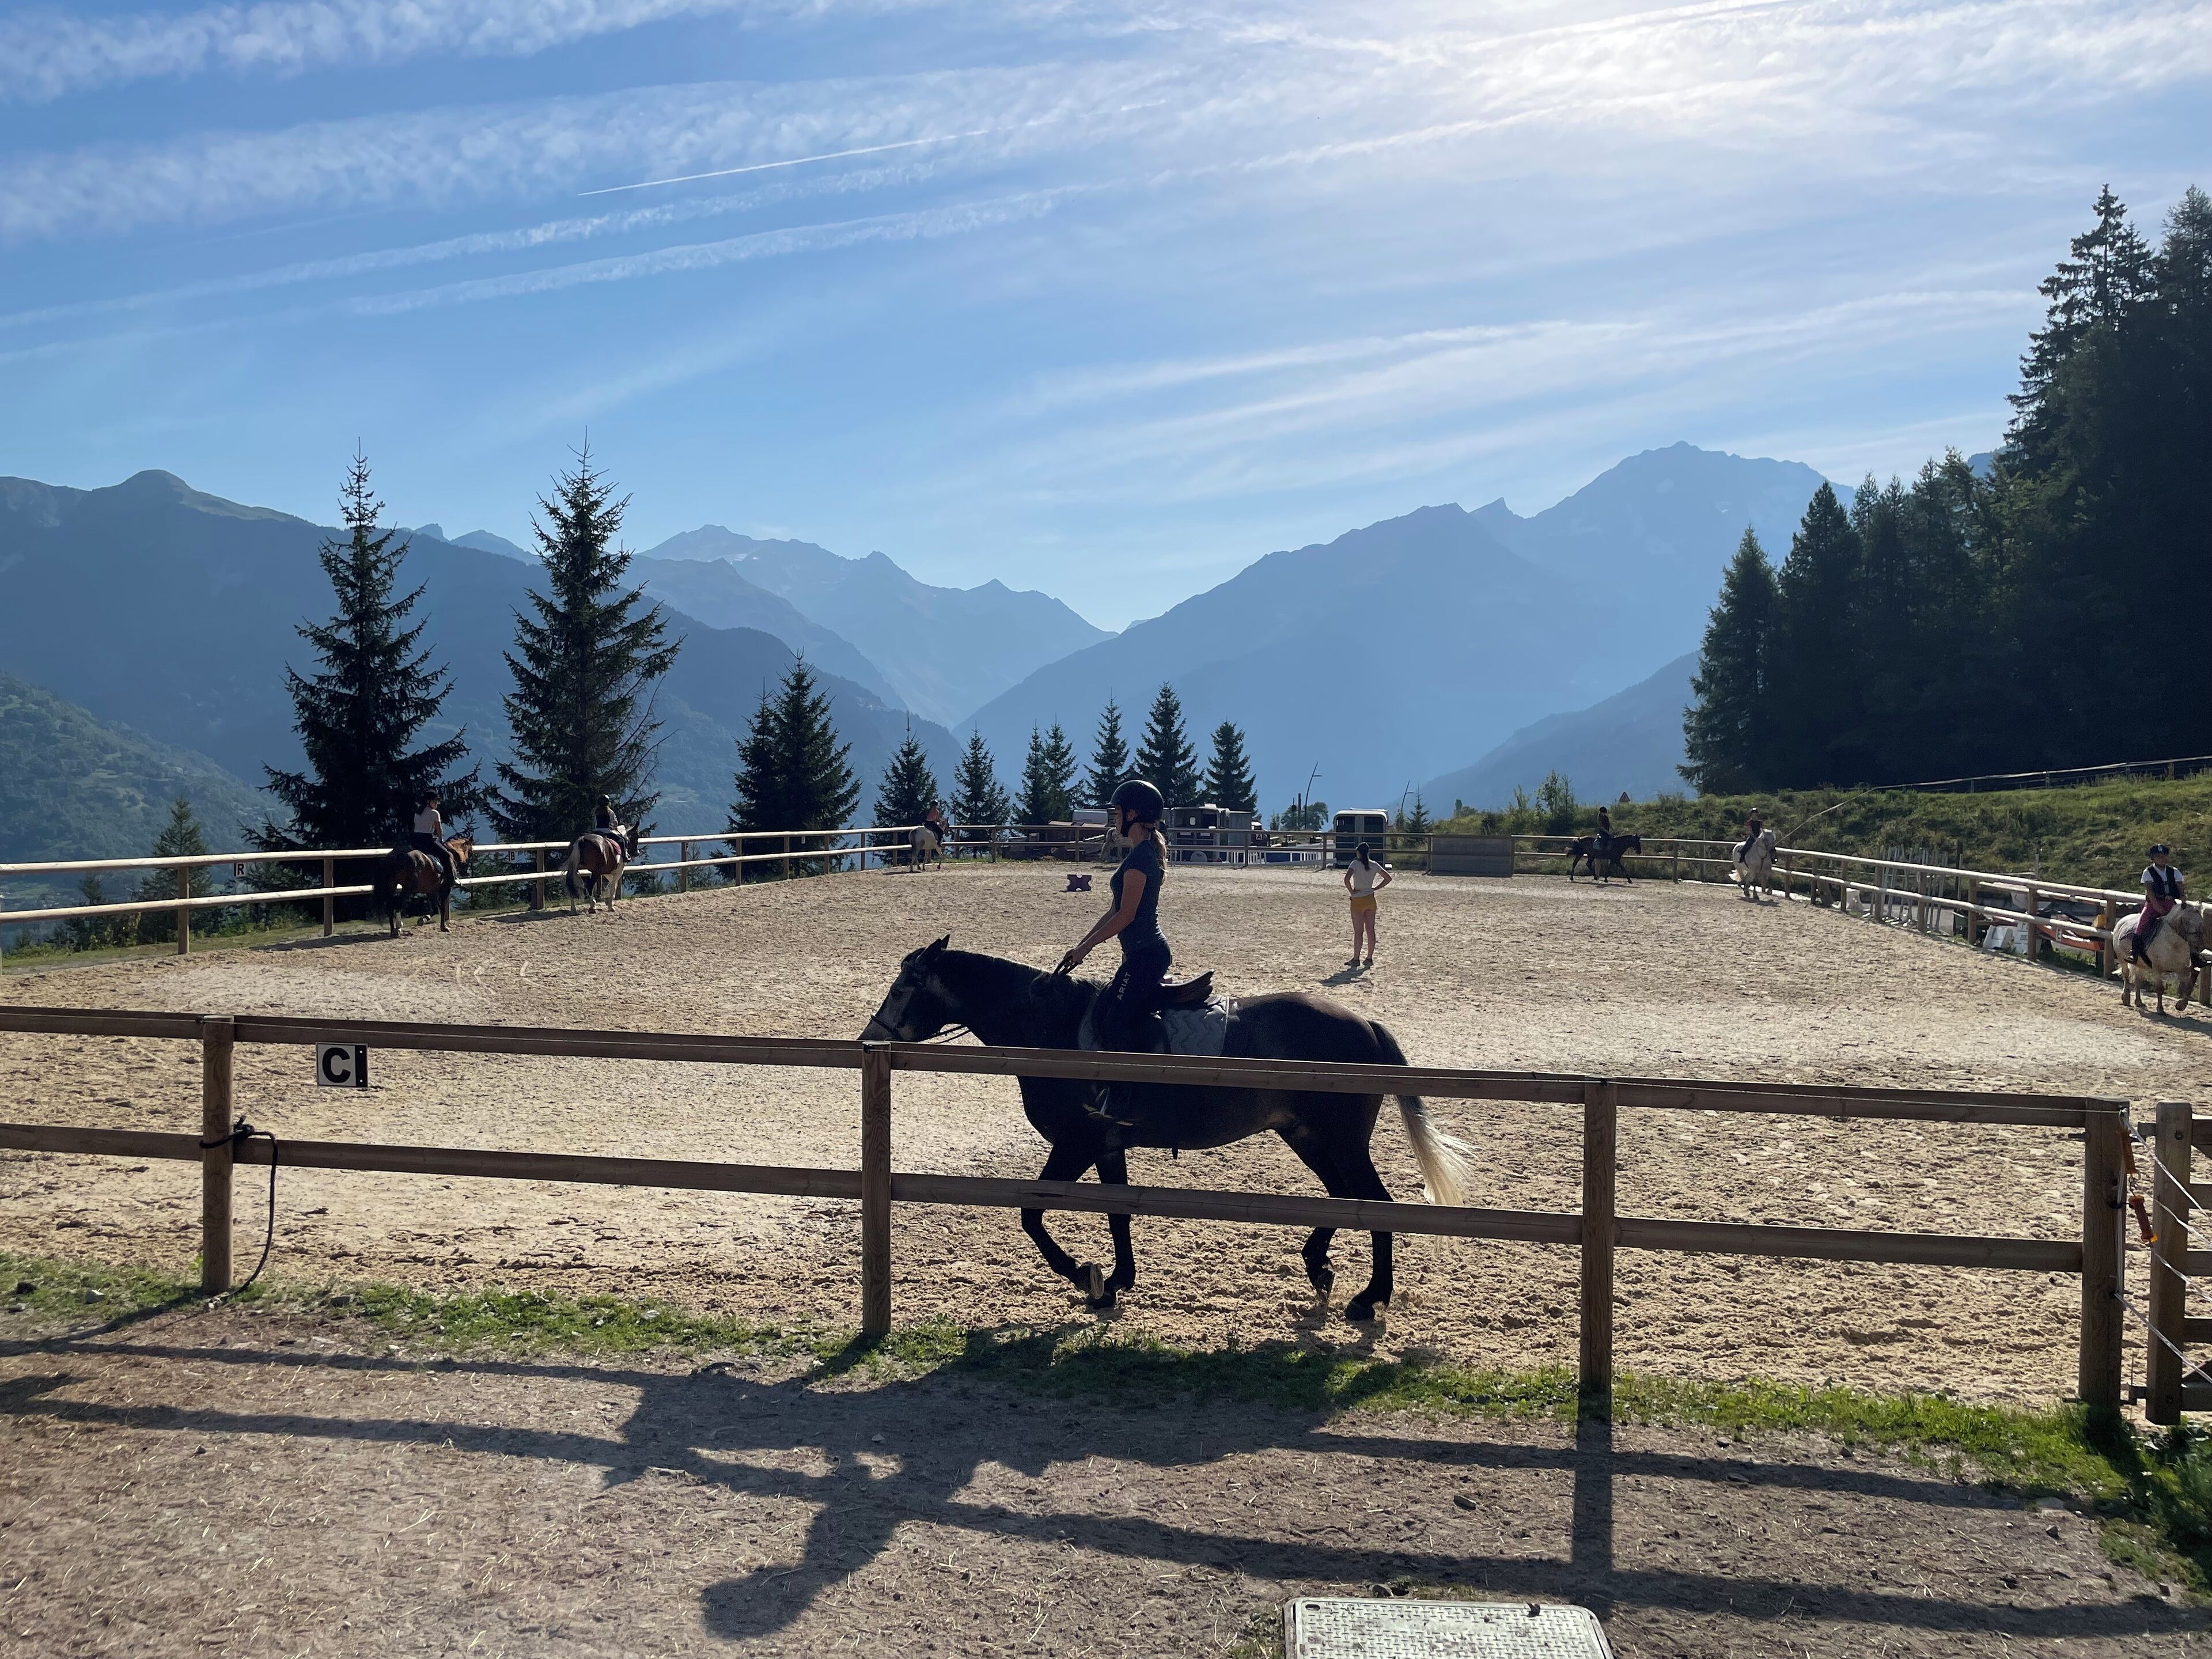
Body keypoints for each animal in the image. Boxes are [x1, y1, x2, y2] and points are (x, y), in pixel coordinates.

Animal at [372, 833, 473, 937]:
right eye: (470, 852)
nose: (465, 871)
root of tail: (395, 856)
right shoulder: (446, 888)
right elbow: (442, 908)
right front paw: (444, 927)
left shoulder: (431, 890)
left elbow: (436, 909)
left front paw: (423, 920)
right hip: (408, 888)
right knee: (398, 904)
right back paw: (399, 927)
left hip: (392, 886)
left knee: (390, 907)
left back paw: (393, 930)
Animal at [563, 827, 634, 914]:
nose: (637, 852)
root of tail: (581, 840)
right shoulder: (618, 871)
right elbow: (614, 886)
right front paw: (611, 906)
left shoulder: (606, 872)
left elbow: (612, 883)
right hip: (595, 872)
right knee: (589, 885)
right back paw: (592, 906)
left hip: (575, 869)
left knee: (573, 884)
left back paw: (573, 909)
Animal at [861, 937, 1477, 1324]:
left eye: (902, 988)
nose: (872, 1034)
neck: (1051, 1029)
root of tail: (1364, 1023)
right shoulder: (1107, 1146)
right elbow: (1118, 1212)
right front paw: (1114, 1283)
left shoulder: (1076, 1143)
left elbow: (1031, 1214)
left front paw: (1080, 1272)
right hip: (1308, 1137)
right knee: (1344, 1199)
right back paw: (1319, 1266)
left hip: (1340, 1142)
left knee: (1375, 1205)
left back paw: (1370, 1297)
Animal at [2113, 902, 2206, 1014]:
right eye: (2186, 921)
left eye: (2201, 922)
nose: (2198, 946)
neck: (2173, 945)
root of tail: (2122, 921)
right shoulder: (2157, 969)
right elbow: (2159, 989)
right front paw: (2160, 1009)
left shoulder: (2182, 970)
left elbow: (2187, 986)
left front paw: (2181, 1005)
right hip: (2122, 959)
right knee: (2126, 975)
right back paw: (2126, 998)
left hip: (2141, 965)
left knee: (2138, 980)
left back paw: (2139, 1002)